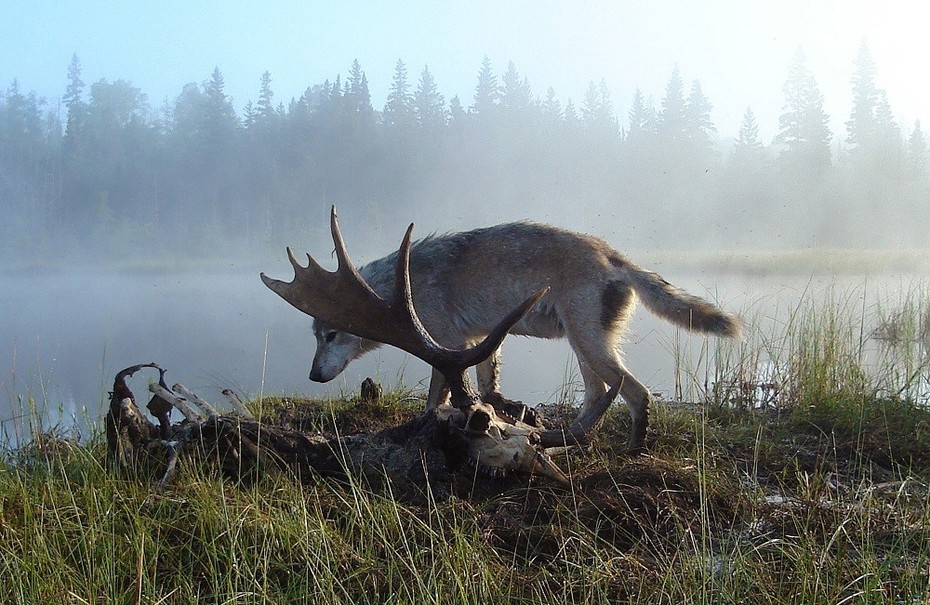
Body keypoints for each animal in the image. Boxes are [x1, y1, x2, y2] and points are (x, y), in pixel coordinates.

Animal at [308, 221, 736, 448]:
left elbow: (436, 394)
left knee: (635, 393)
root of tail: (615, 257)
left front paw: (428, 422)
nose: (312, 375)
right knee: (601, 394)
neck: (395, 291)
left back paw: (629, 451)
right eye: (315, 335)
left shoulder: (444, 345)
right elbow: (487, 385)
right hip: (583, 347)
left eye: (330, 336)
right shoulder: (476, 340)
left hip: (588, 345)